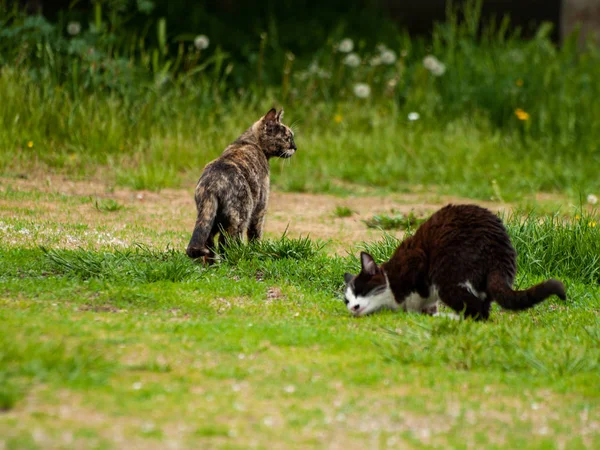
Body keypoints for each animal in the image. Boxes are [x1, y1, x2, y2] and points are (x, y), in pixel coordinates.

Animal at [184, 108, 294, 262]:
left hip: (210, 218)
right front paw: (257, 250)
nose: (295, 147)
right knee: (227, 242)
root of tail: (212, 183)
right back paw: (238, 257)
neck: (249, 141)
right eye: (288, 138)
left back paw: (213, 263)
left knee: (209, 242)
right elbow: (255, 234)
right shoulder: (260, 208)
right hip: (240, 217)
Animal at [344, 204, 564, 320]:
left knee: (479, 312)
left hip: (447, 278)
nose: (352, 307)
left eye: (361, 290)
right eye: (347, 300)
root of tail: (498, 245)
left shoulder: (416, 261)